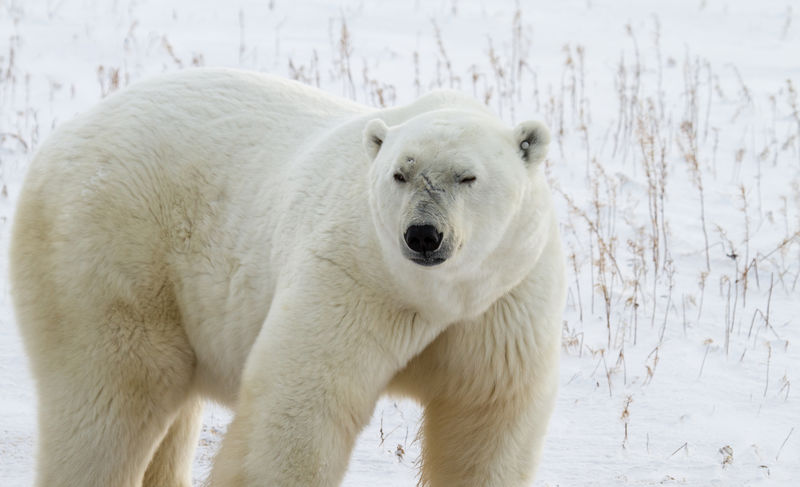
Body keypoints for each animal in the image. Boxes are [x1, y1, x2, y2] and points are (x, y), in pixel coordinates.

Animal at [9, 68, 564, 487]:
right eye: (399, 174)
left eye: (467, 177)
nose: (423, 235)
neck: (435, 296)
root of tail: (61, 137)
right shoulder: (354, 276)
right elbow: (301, 406)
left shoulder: (504, 303)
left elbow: (485, 421)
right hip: (110, 246)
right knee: (112, 396)